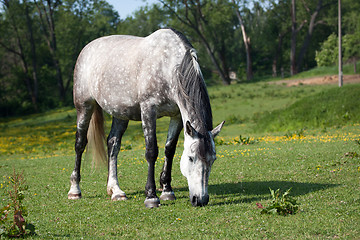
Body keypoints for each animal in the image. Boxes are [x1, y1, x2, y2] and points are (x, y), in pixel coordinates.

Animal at [67, 28, 224, 208]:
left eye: (213, 160)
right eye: (191, 158)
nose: (201, 200)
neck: (168, 65)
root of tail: (86, 49)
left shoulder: (177, 116)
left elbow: (169, 150)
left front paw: (167, 190)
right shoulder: (149, 110)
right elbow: (151, 152)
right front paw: (151, 196)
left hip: (120, 113)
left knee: (113, 144)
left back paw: (116, 190)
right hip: (84, 106)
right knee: (80, 144)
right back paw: (74, 190)